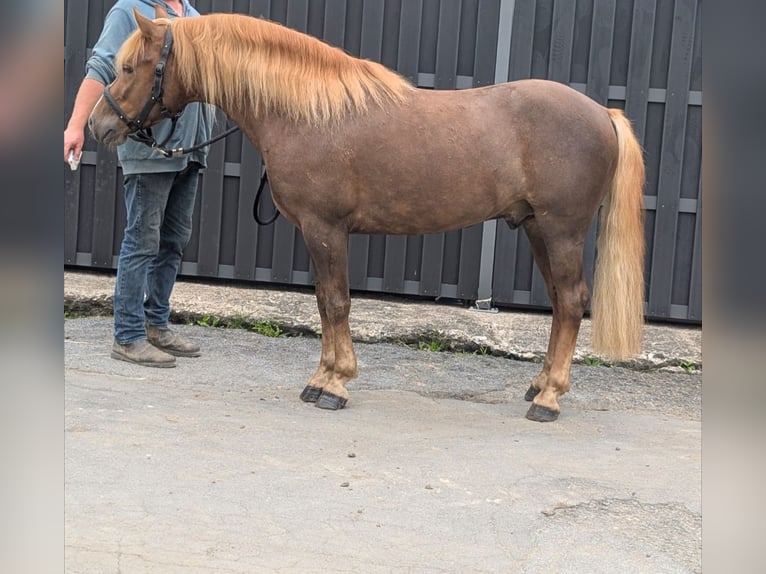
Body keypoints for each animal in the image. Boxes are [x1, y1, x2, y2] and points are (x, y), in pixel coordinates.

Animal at [88, 6, 645, 422]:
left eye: (131, 67)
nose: (98, 127)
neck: (308, 114)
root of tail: (602, 113)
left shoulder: (326, 230)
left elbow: (336, 304)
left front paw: (334, 384)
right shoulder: (319, 235)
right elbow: (323, 303)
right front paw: (323, 378)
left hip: (561, 229)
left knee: (571, 302)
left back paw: (549, 398)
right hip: (536, 229)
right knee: (558, 302)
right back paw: (539, 385)